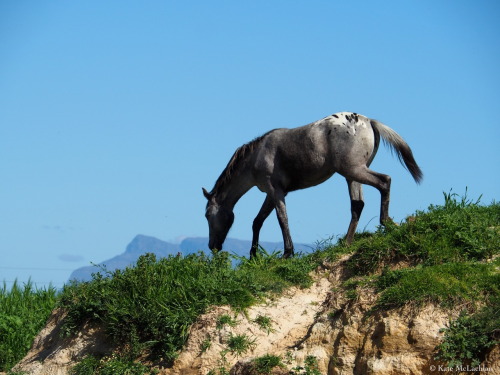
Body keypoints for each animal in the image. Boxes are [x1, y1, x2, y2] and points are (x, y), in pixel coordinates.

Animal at [202, 111, 422, 258]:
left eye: (207, 215)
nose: (212, 246)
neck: (257, 155)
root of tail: (369, 122)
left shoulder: (276, 191)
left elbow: (282, 219)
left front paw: (287, 253)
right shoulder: (271, 194)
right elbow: (258, 221)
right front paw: (253, 255)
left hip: (354, 170)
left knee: (384, 181)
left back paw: (386, 223)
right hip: (352, 175)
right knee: (357, 204)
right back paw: (346, 243)